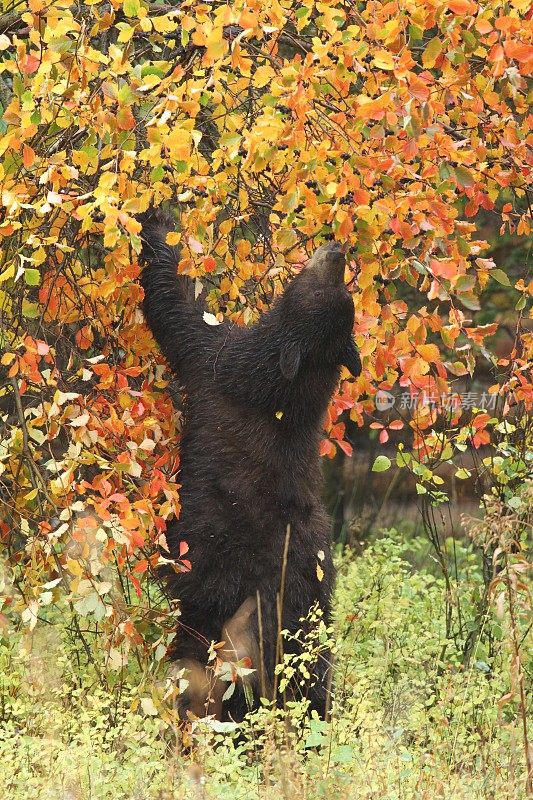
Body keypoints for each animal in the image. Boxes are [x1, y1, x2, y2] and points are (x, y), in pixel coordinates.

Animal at [138, 209, 362, 720]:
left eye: (328, 289)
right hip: (309, 600)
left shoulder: (220, 364)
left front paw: (154, 221)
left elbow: (177, 311)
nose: (337, 248)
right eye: (346, 296)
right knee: (313, 675)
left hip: (220, 612)